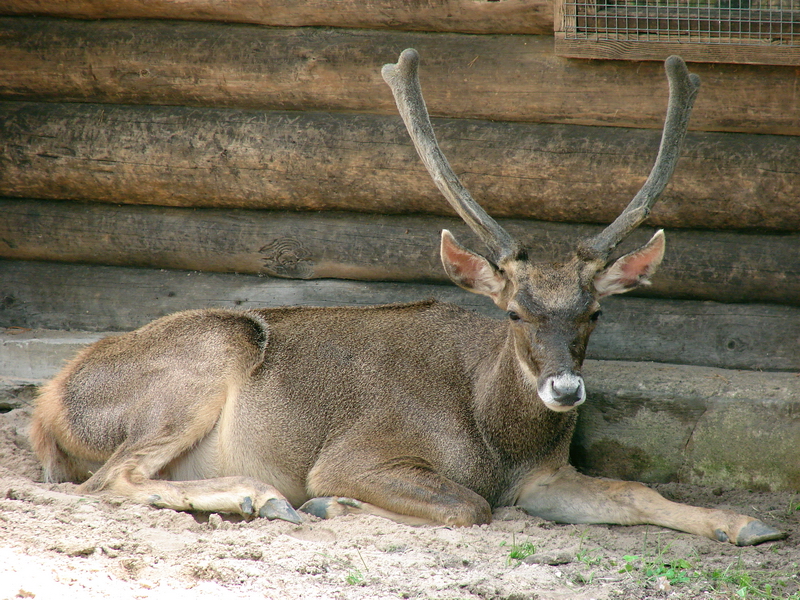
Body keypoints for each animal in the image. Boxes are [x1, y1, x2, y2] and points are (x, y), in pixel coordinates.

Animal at [30, 49, 783, 547]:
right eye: (515, 313)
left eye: (594, 311)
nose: (566, 391)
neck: (497, 437)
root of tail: (48, 405)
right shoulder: (355, 454)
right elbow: (469, 506)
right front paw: (332, 507)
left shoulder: (542, 476)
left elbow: (632, 490)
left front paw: (747, 522)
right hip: (209, 352)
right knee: (107, 481)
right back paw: (259, 496)